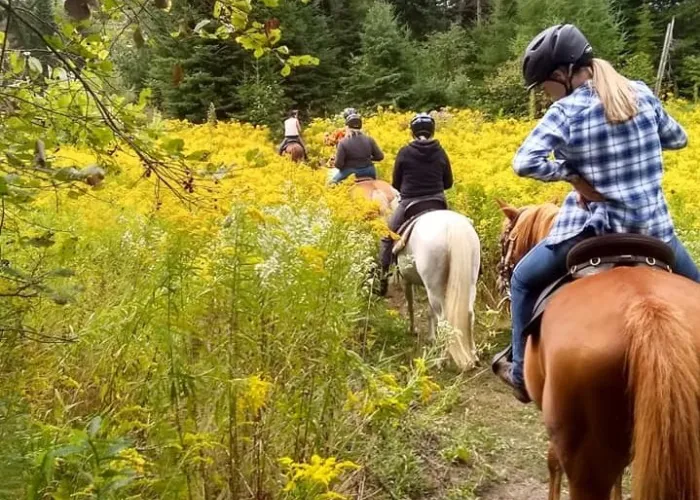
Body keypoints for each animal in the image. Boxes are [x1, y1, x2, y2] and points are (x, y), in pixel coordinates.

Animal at [396, 209, 484, 370]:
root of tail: (452, 227)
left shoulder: (407, 280)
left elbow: (411, 306)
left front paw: (412, 329)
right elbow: (430, 313)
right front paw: (431, 337)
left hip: (435, 288)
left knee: (444, 321)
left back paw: (441, 361)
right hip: (470, 284)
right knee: (469, 316)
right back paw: (474, 356)